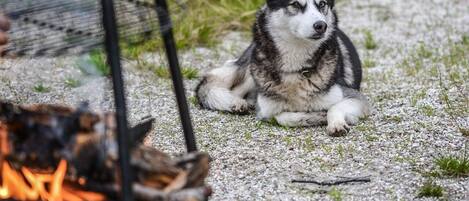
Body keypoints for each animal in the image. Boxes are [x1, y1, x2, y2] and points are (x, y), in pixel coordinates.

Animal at [194, 0, 370, 137]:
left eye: (322, 4)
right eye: (296, 4)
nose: (321, 25)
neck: (296, 69)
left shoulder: (355, 97)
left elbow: (334, 107)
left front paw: (335, 123)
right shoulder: (265, 111)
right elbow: (281, 117)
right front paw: (314, 117)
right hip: (251, 71)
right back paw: (236, 102)